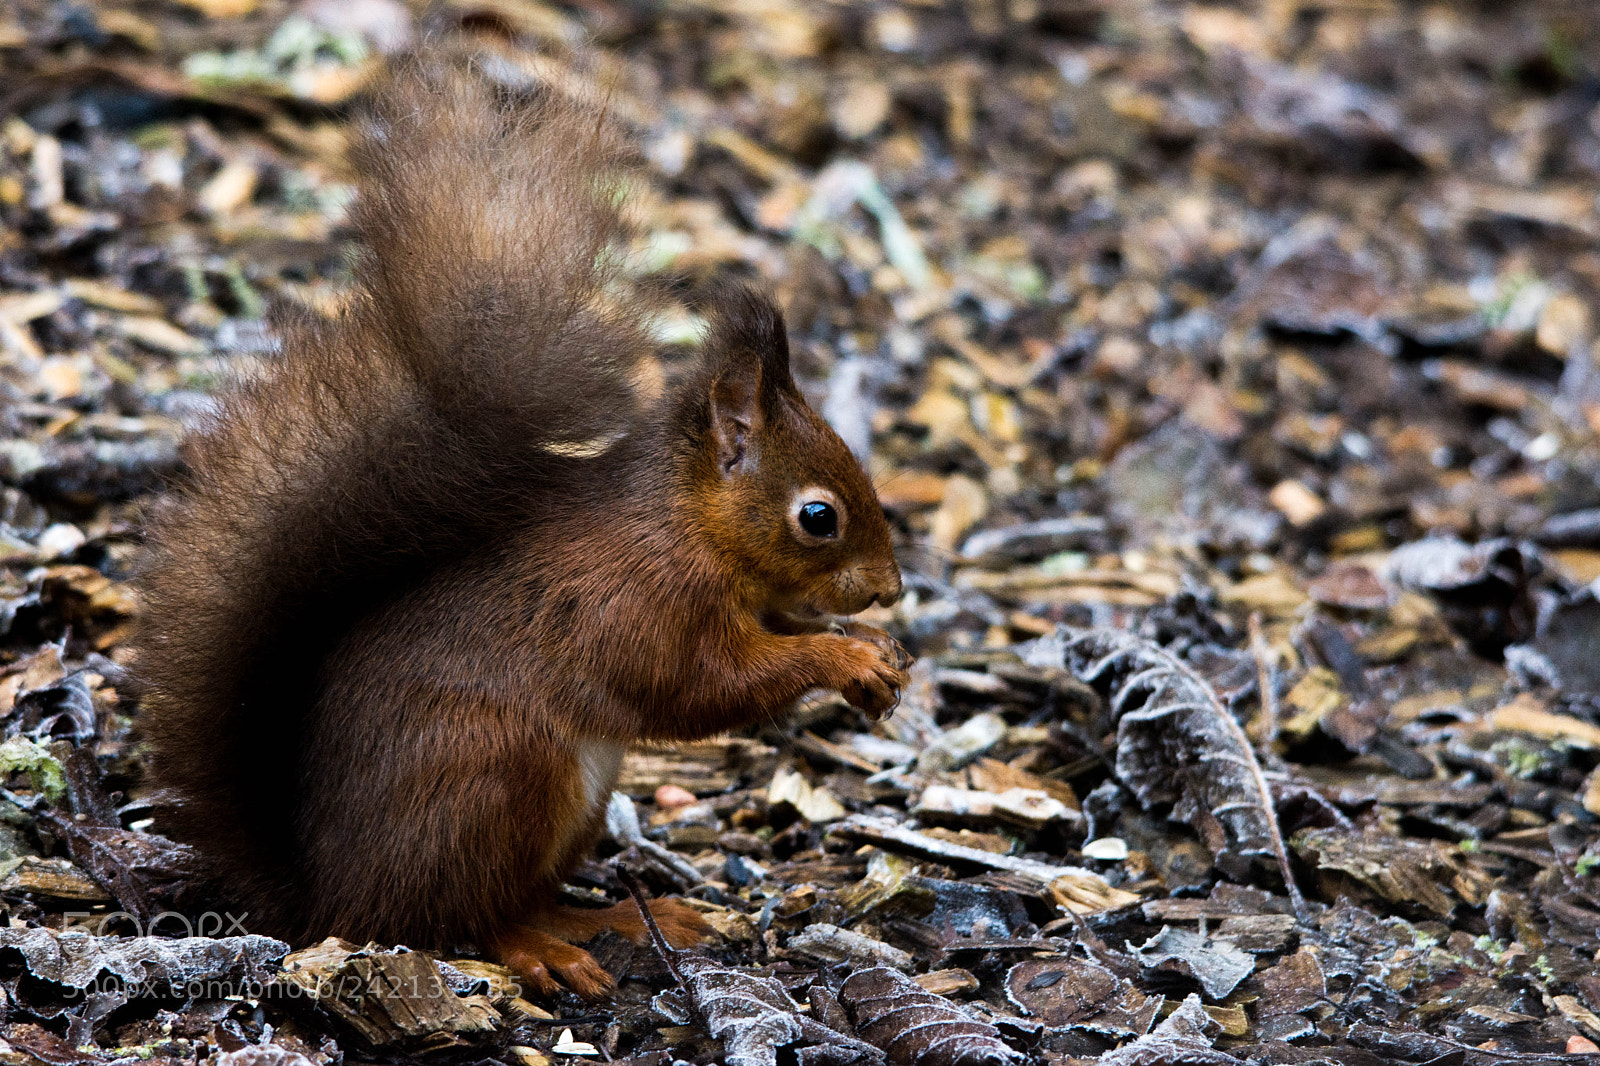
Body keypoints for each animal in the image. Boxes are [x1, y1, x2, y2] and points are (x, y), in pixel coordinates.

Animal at [133, 63, 911, 1000]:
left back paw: (616, 916)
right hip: (500, 778)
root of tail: (323, 895)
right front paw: (843, 657)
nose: (891, 591)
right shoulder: (641, 601)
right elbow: (708, 685)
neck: (686, 524)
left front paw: (874, 653)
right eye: (818, 517)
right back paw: (542, 949)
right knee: (460, 919)